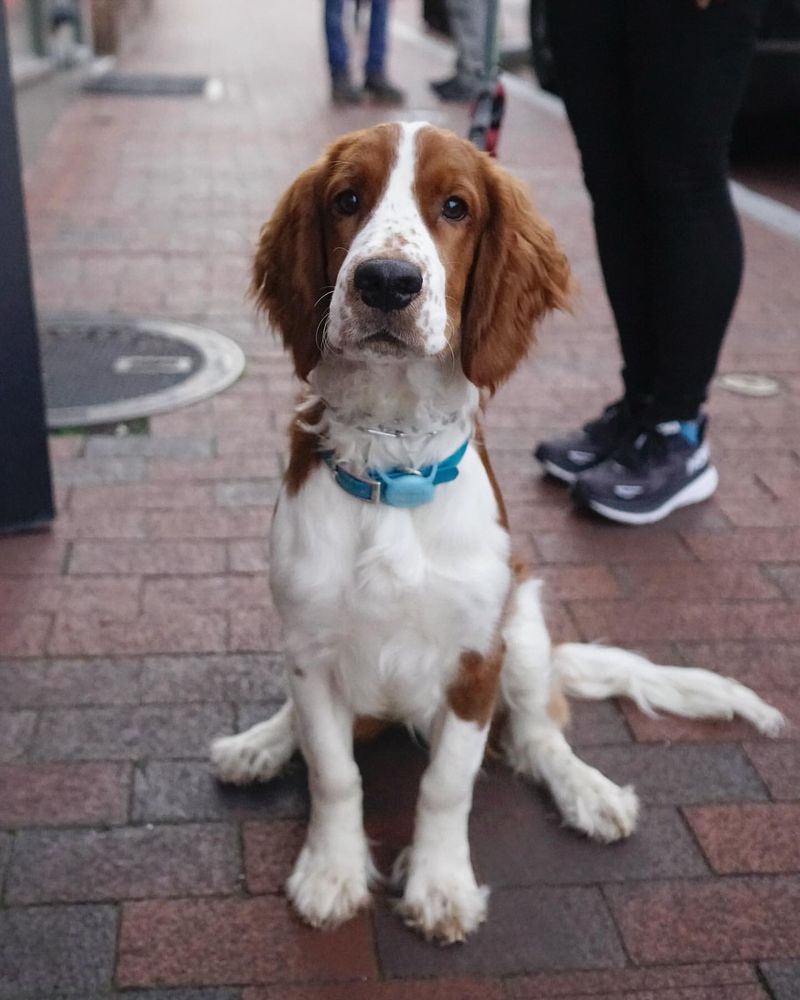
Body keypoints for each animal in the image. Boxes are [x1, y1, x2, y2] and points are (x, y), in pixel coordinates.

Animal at [209, 121, 784, 940]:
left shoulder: (478, 658)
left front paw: (442, 885)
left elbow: (449, 782)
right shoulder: (311, 654)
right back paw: (258, 745)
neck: (395, 464)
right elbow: (333, 772)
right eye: (347, 199)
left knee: (541, 734)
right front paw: (331, 873)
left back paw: (589, 792)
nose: (387, 282)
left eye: (456, 206)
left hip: (528, 626)